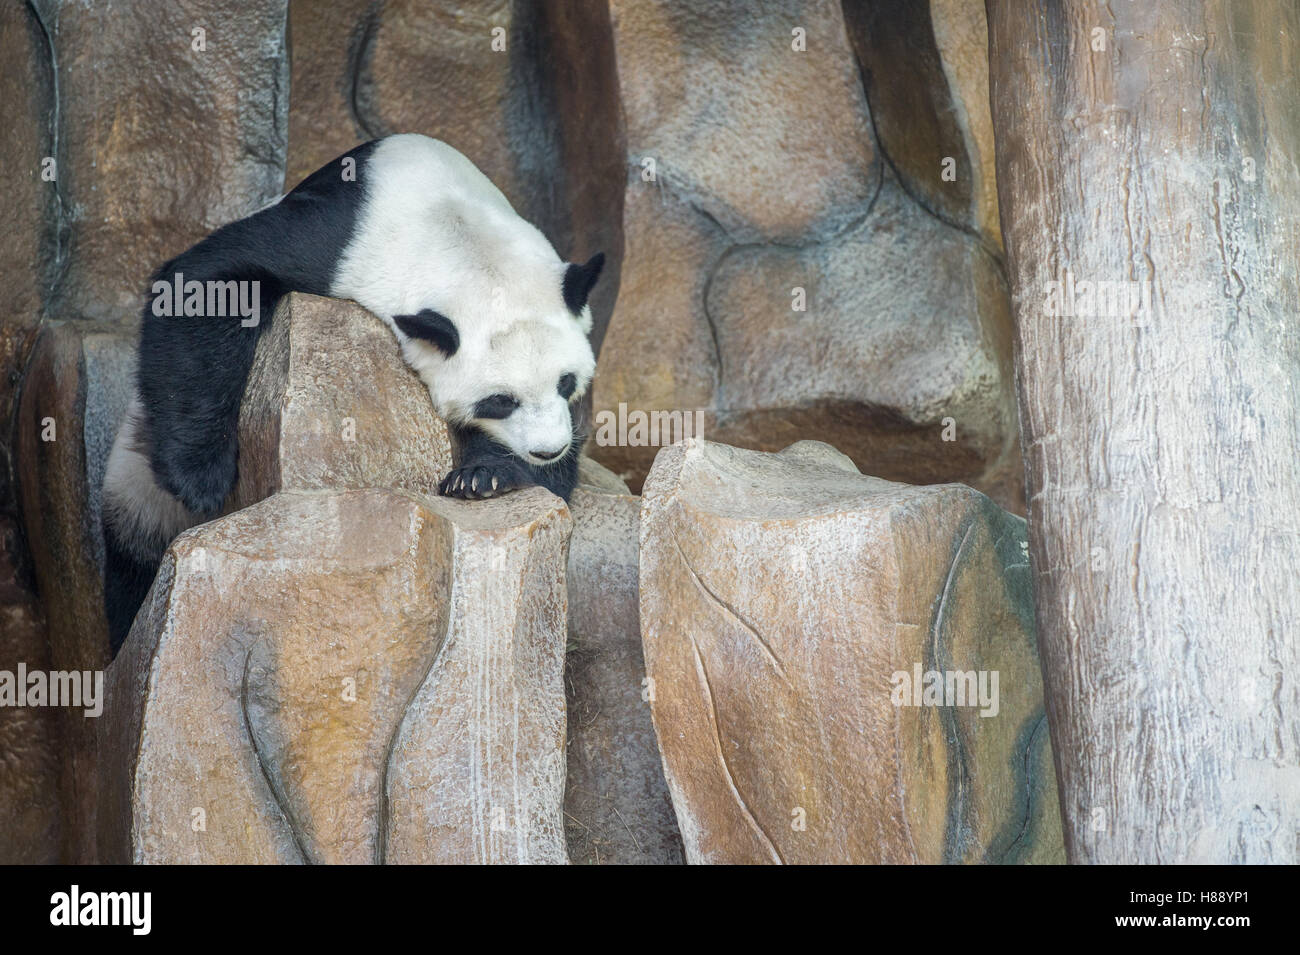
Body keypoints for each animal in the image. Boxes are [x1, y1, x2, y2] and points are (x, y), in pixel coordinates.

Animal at [101, 133, 606, 655]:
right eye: (501, 401)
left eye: (566, 382)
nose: (546, 449)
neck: (456, 234)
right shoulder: (339, 241)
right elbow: (203, 283)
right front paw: (201, 475)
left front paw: (483, 476)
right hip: (135, 478)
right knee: (133, 554)